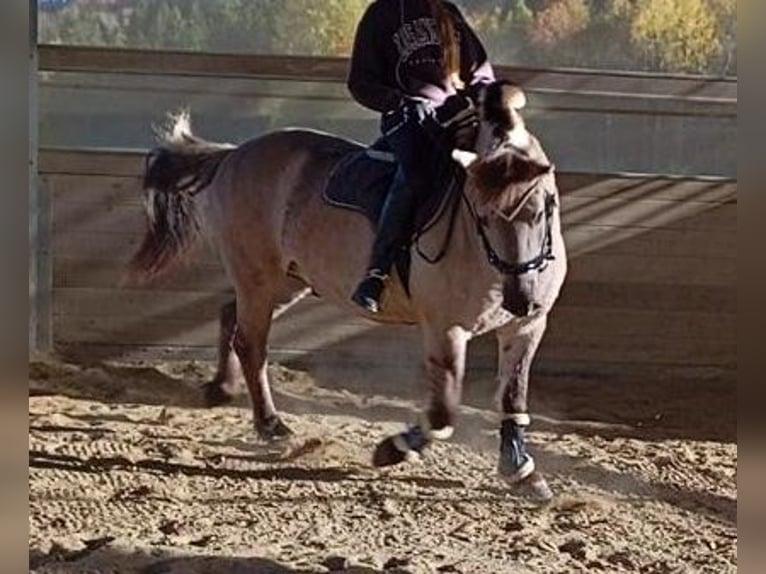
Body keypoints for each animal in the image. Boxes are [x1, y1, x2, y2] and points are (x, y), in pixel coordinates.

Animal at [130, 81, 567, 500]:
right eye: (482, 215)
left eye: (543, 208)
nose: (520, 298)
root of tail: (235, 155)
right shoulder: (445, 328)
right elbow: (443, 413)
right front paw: (392, 449)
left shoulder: (527, 327)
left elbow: (513, 399)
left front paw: (521, 472)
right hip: (257, 275)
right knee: (251, 343)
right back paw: (271, 425)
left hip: (286, 282)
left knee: (230, 319)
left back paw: (222, 390)